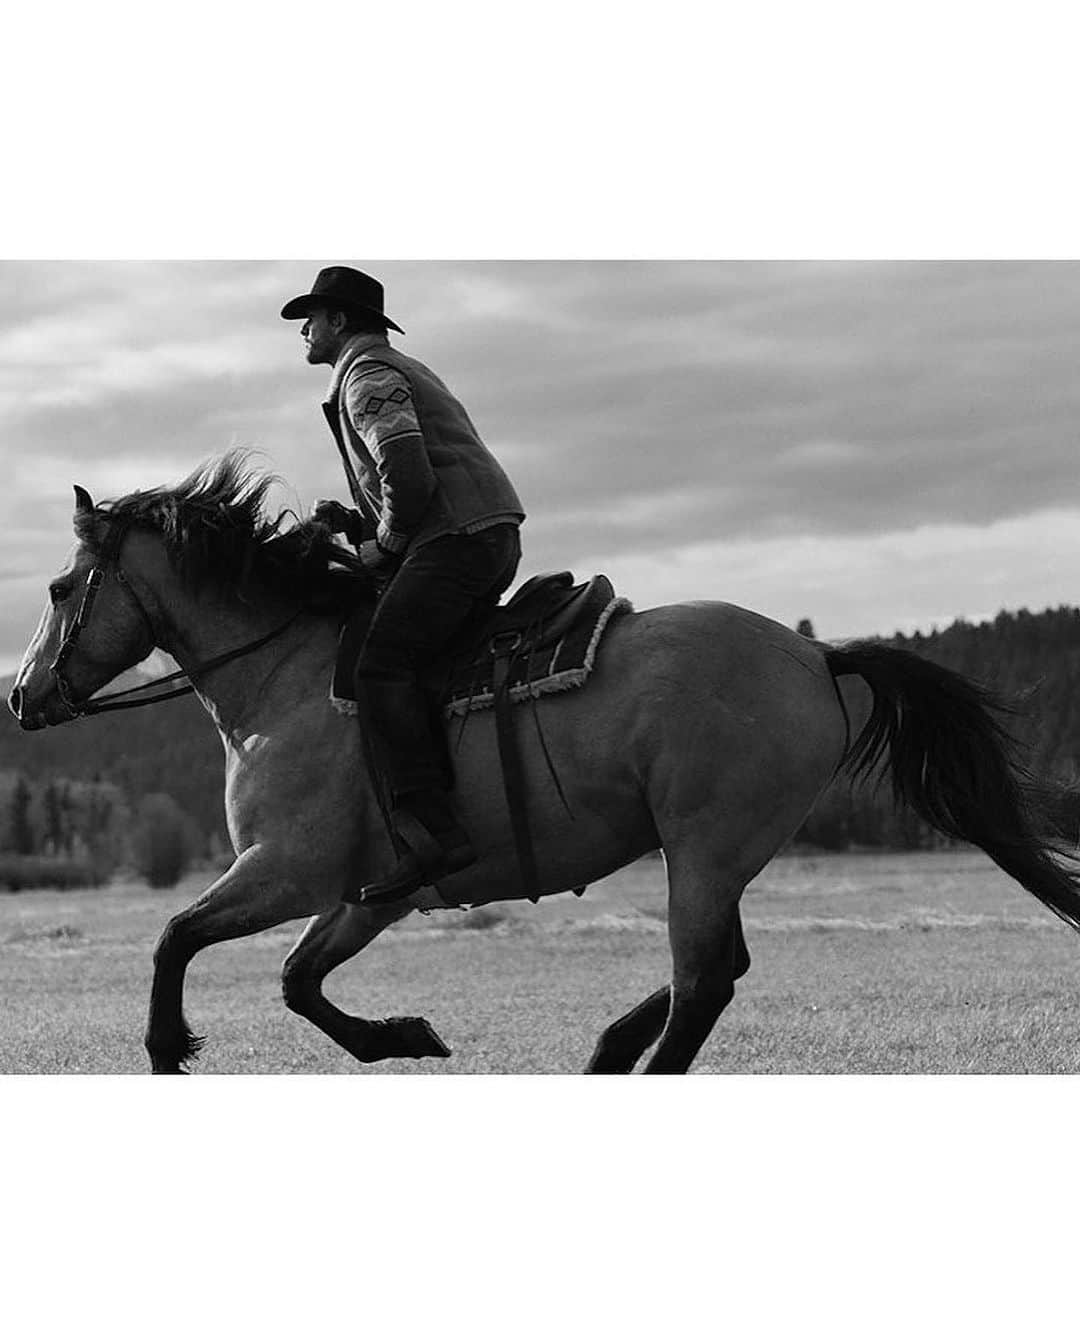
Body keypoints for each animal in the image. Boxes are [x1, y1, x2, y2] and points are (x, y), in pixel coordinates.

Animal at [8, 455, 1078, 1072]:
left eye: (60, 587)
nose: (21, 695)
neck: (287, 677)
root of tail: (816, 653)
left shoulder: (287, 870)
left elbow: (175, 938)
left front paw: (165, 1047)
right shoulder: (368, 892)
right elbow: (297, 981)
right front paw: (403, 1035)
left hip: (701, 849)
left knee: (704, 983)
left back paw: (627, 1057)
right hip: (708, 855)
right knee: (718, 968)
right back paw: (609, 1048)